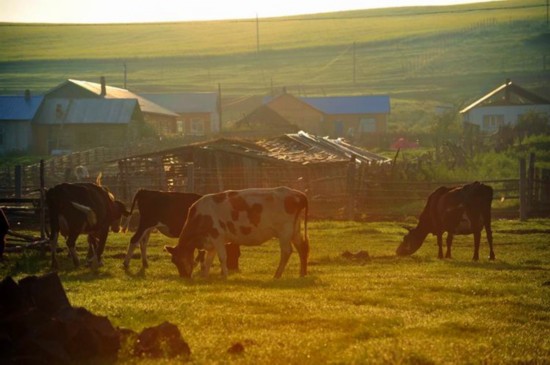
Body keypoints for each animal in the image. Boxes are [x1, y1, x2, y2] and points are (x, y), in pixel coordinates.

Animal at [164, 186, 310, 278]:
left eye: (177, 260)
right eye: (173, 261)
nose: (184, 277)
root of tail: (298, 194)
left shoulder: (218, 237)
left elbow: (222, 257)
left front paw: (225, 276)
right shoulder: (211, 242)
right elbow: (209, 260)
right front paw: (205, 276)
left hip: (285, 231)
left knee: (286, 251)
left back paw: (277, 275)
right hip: (295, 230)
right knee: (302, 248)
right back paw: (302, 274)